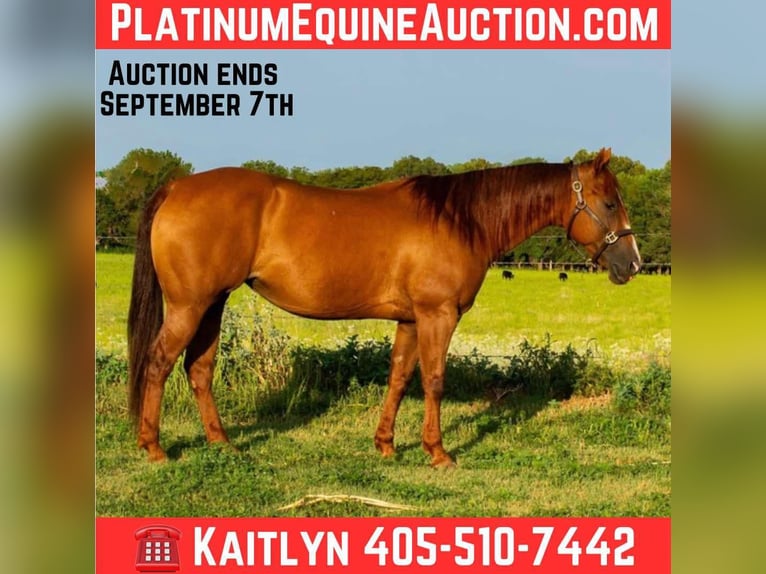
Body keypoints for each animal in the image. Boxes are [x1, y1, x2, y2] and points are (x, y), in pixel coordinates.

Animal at [127, 147, 640, 468]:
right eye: (609, 203)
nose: (632, 263)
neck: (460, 219)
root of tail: (176, 187)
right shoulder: (437, 315)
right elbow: (434, 380)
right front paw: (438, 452)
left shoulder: (410, 320)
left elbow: (398, 378)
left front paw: (386, 445)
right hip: (189, 306)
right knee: (159, 362)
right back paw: (153, 448)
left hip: (213, 304)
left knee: (199, 368)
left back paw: (222, 443)